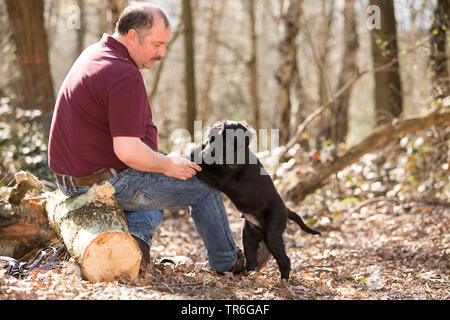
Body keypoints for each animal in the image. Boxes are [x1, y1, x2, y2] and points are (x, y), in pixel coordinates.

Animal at [190, 119, 320, 280]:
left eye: (239, 145)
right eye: (226, 142)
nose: (231, 163)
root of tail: (286, 210)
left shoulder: (221, 177)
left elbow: (204, 168)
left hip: (272, 235)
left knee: (285, 259)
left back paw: (283, 280)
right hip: (249, 235)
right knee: (252, 260)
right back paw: (245, 273)